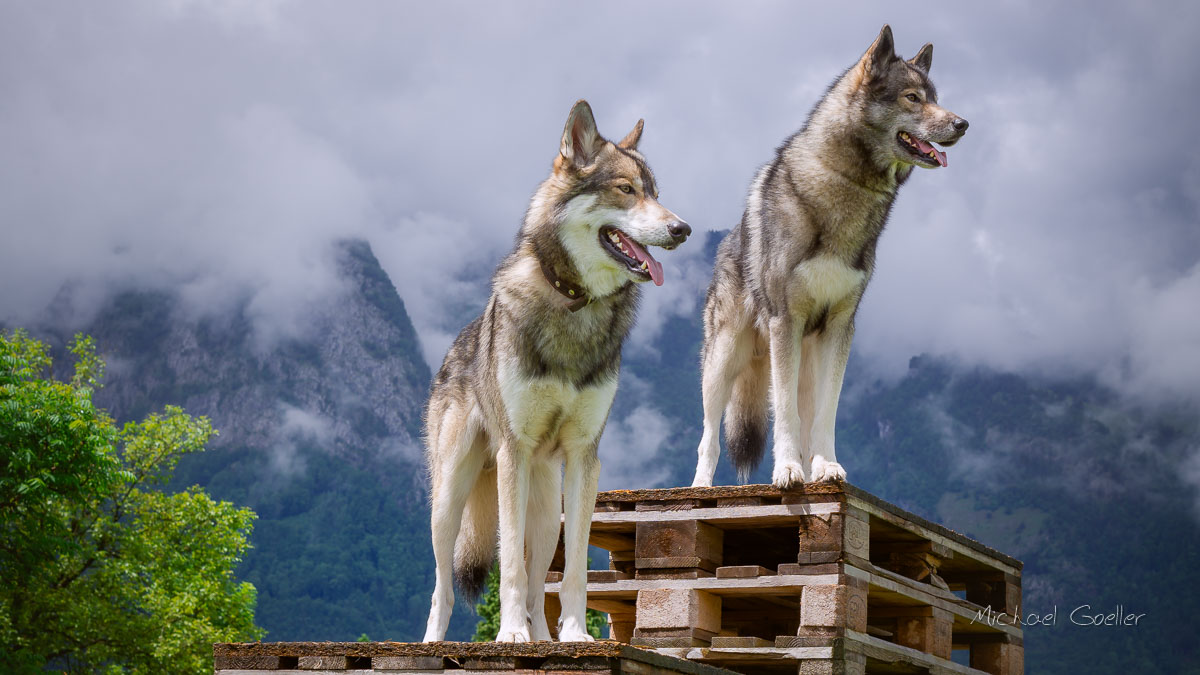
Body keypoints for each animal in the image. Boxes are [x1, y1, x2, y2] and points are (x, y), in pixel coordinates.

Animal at [422, 100, 690, 643]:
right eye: (626, 190)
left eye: (656, 193)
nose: (682, 229)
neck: (574, 306)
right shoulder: (514, 453)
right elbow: (510, 565)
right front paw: (509, 636)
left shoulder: (586, 456)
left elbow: (573, 573)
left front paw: (575, 636)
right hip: (450, 500)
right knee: (443, 588)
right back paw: (432, 644)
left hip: (549, 512)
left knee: (538, 578)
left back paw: (545, 638)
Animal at [691, 25, 968, 488]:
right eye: (913, 97)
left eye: (936, 97)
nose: (963, 124)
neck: (847, 185)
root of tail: (728, 242)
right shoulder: (786, 321)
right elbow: (783, 413)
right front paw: (787, 471)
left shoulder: (840, 327)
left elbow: (825, 414)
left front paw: (826, 467)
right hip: (724, 362)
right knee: (709, 437)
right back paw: (698, 489)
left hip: (801, 358)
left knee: (804, 413)